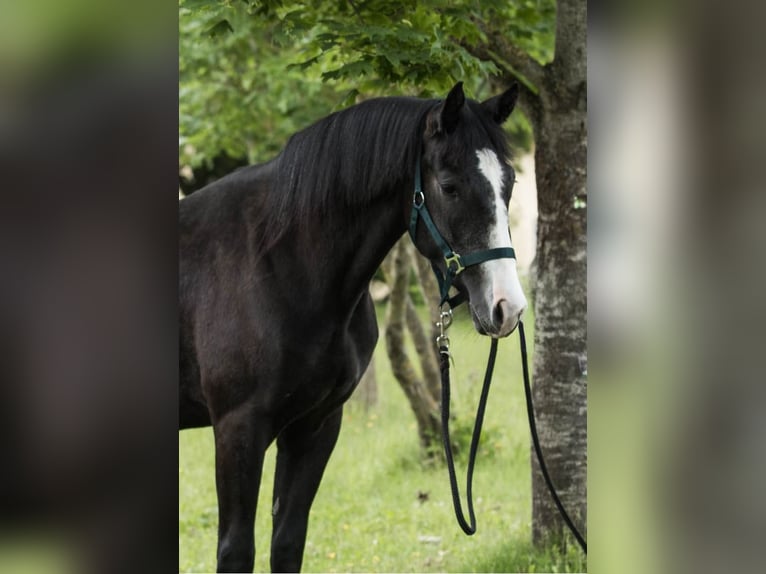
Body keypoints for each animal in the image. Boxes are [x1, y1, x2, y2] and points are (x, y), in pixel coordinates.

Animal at [179, 81, 528, 572]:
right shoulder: (237, 429)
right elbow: (236, 551)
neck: (275, 262)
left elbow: (286, 544)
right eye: (449, 186)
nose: (507, 307)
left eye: (509, 184)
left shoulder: (315, 426)